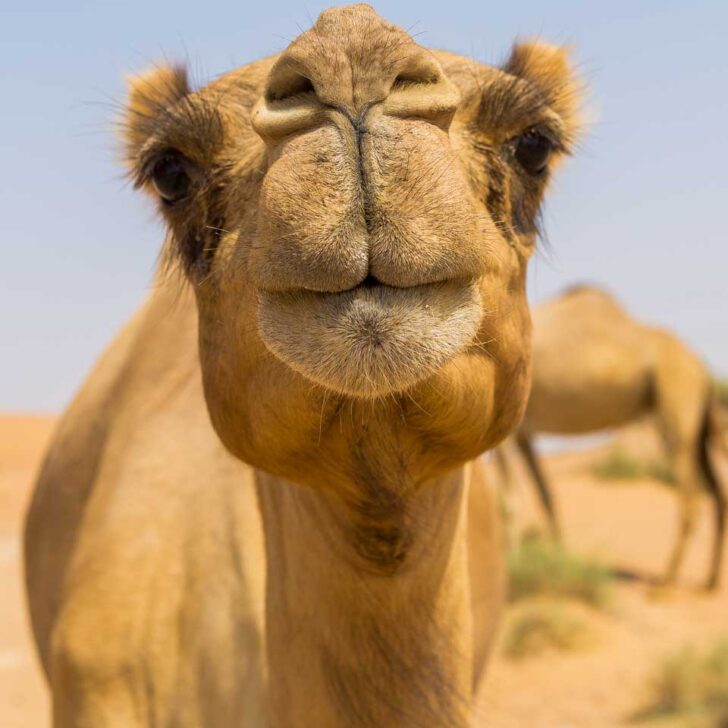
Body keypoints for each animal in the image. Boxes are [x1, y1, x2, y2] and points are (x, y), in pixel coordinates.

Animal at [498, 286, 727, 590]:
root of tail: (701, 367)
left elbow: (508, 501)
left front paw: (511, 569)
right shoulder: (525, 432)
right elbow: (545, 494)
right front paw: (559, 559)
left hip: (676, 395)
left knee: (689, 498)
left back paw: (665, 582)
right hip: (698, 426)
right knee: (718, 493)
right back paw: (709, 581)